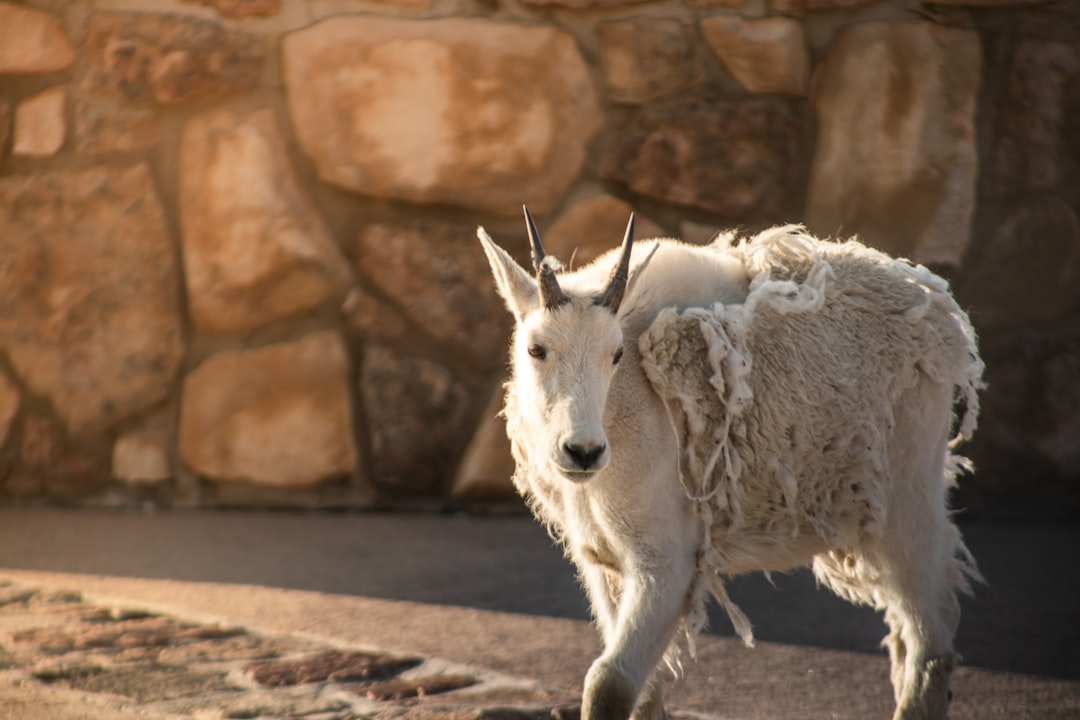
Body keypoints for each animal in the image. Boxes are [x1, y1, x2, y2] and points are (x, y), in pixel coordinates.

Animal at [481, 209, 989, 720]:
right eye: (536, 348)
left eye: (616, 353)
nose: (583, 451)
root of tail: (936, 306)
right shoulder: (604, 566)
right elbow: (646, 691)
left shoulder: (666, 560)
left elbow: (610, 682)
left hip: (907, 496)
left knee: (929, 643)